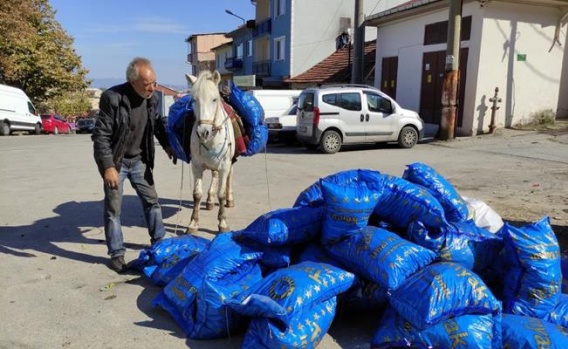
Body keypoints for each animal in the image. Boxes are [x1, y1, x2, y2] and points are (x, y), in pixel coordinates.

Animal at [183, 70, 234, 234]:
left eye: (214, 99)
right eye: (194, 100)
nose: (203, 132)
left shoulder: (225, 164)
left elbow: (221, 193)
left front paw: (222, 223)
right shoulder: (196, 165)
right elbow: (197, 194)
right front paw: (193, 223)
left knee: (229, 177)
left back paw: (230, 200)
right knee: (214, 175)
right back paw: (210, 200)